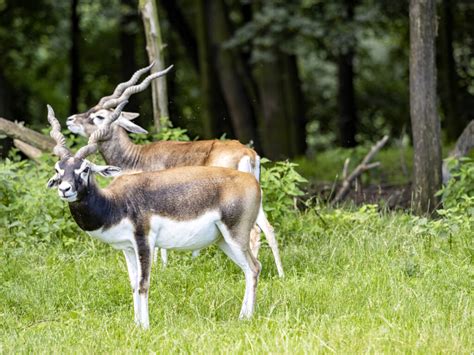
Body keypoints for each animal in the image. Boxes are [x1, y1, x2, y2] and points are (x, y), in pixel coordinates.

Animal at [47, 104, 266, 330]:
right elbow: (133, 284)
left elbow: (143, 284)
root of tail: (251, 179)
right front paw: (136, 325)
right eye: (58, 169)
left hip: (236, 235)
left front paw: (145, 327)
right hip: (223, 240)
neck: (115, 202)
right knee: (249, 269)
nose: (65, 189)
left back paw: (247, 317)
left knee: (254, 267)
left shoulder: (144, 241)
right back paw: (242, 317)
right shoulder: (127, 248)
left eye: (85, 169)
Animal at [65, 63, 284, 278]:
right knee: (268, 228)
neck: (135, 157)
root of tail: (248, 152)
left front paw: (160, 266)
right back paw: (280, 274)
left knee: (254, 232)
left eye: (99, 116)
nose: (70, 119)